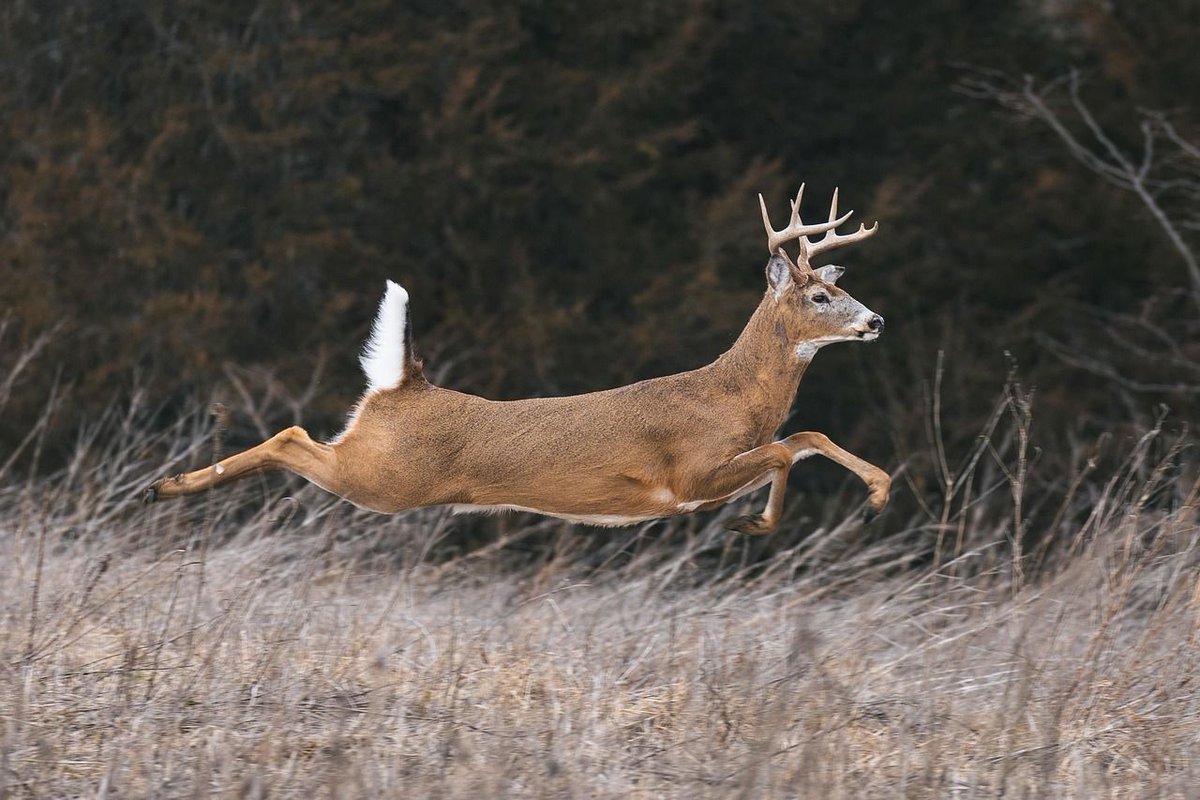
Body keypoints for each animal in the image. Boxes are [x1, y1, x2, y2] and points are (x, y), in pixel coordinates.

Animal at [145, 184, 890, 534]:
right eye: (822, 295)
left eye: (840, 288)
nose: (876, 320)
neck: (730, 399)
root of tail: (405, 385)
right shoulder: (687, 475)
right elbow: (784, 450)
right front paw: (756, 522)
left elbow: (805, 435)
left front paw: (879, 494)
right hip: (383, 476)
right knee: (293, 436)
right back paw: (168, 487)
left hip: (376, 465)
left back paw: (170, 486)